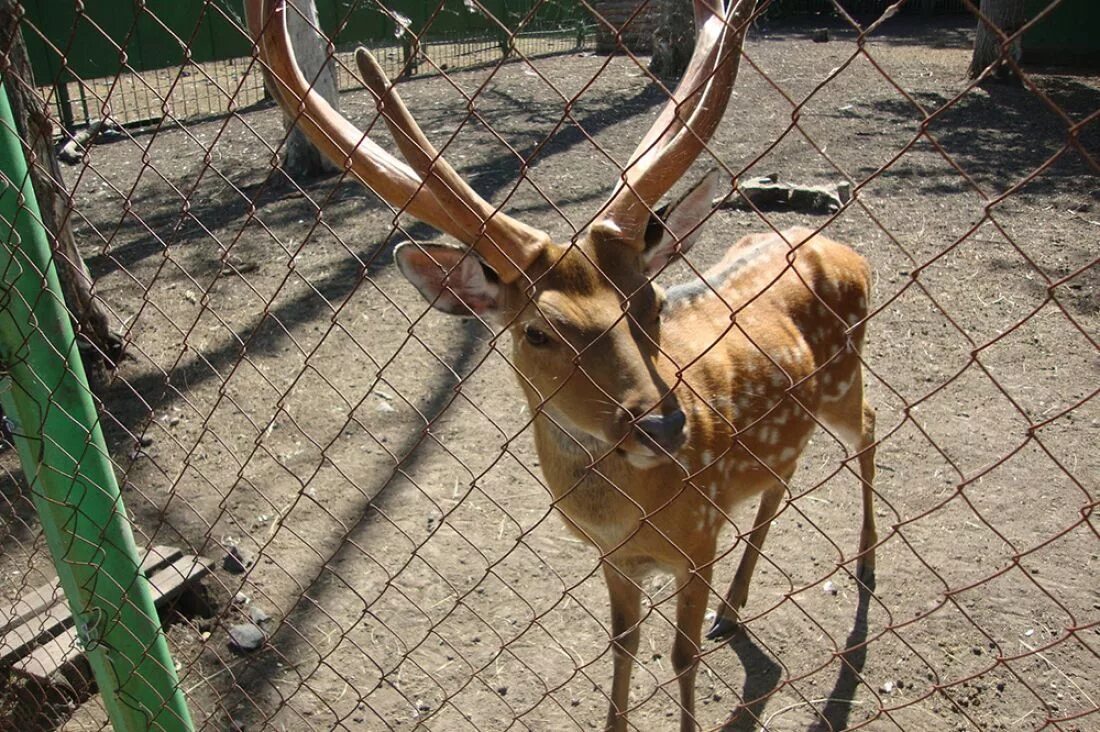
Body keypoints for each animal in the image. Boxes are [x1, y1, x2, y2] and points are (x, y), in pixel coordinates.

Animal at [249, 2, 875, 726]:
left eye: (652, 299)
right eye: (538, 331)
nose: (666, 427)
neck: (627, 517)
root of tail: (847, 251)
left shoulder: (698, 539)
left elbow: (682, 658)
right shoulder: (616, 560)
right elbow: (624, 644)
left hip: (846, 376)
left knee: (870, 429)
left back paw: (863, 567)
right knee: (784, 475)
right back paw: (736, 607)